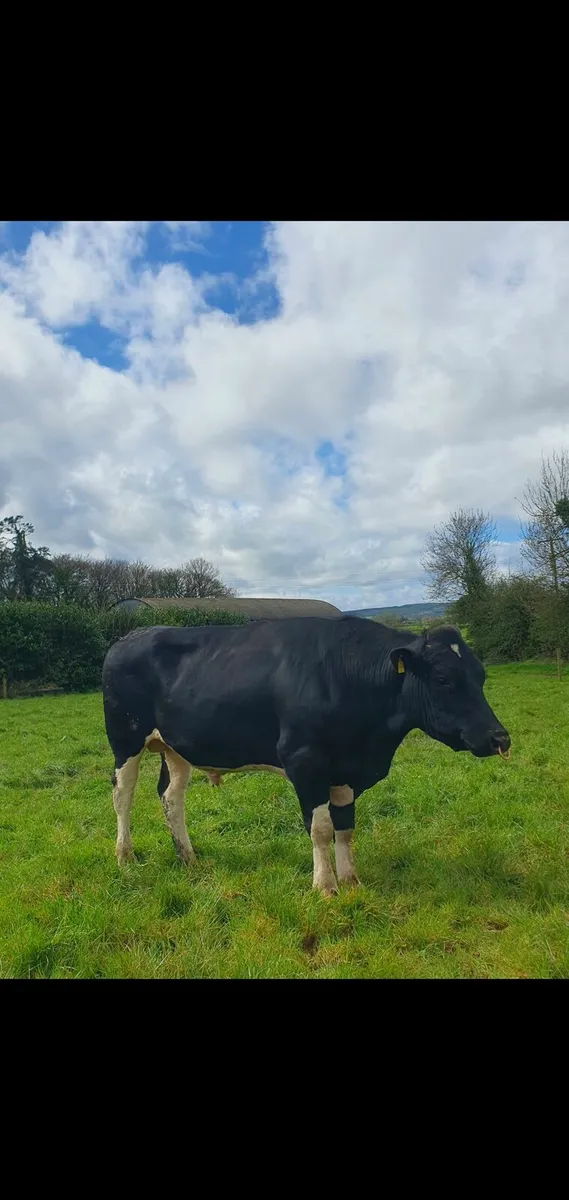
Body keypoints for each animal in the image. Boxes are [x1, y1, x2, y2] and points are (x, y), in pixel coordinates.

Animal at [102, 617, 511, 896]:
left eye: (481, 675)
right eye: (443, 679)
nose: (500, 737)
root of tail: (128, 637)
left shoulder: (346, 771)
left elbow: (345, 827)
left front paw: (350, 880)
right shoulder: (305, 763)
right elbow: (320, 828)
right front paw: (325, 886)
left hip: (176, 747)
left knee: (171, 796)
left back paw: (188, 858)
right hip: (125, 739)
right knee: (122, 795)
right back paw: (124, 856)